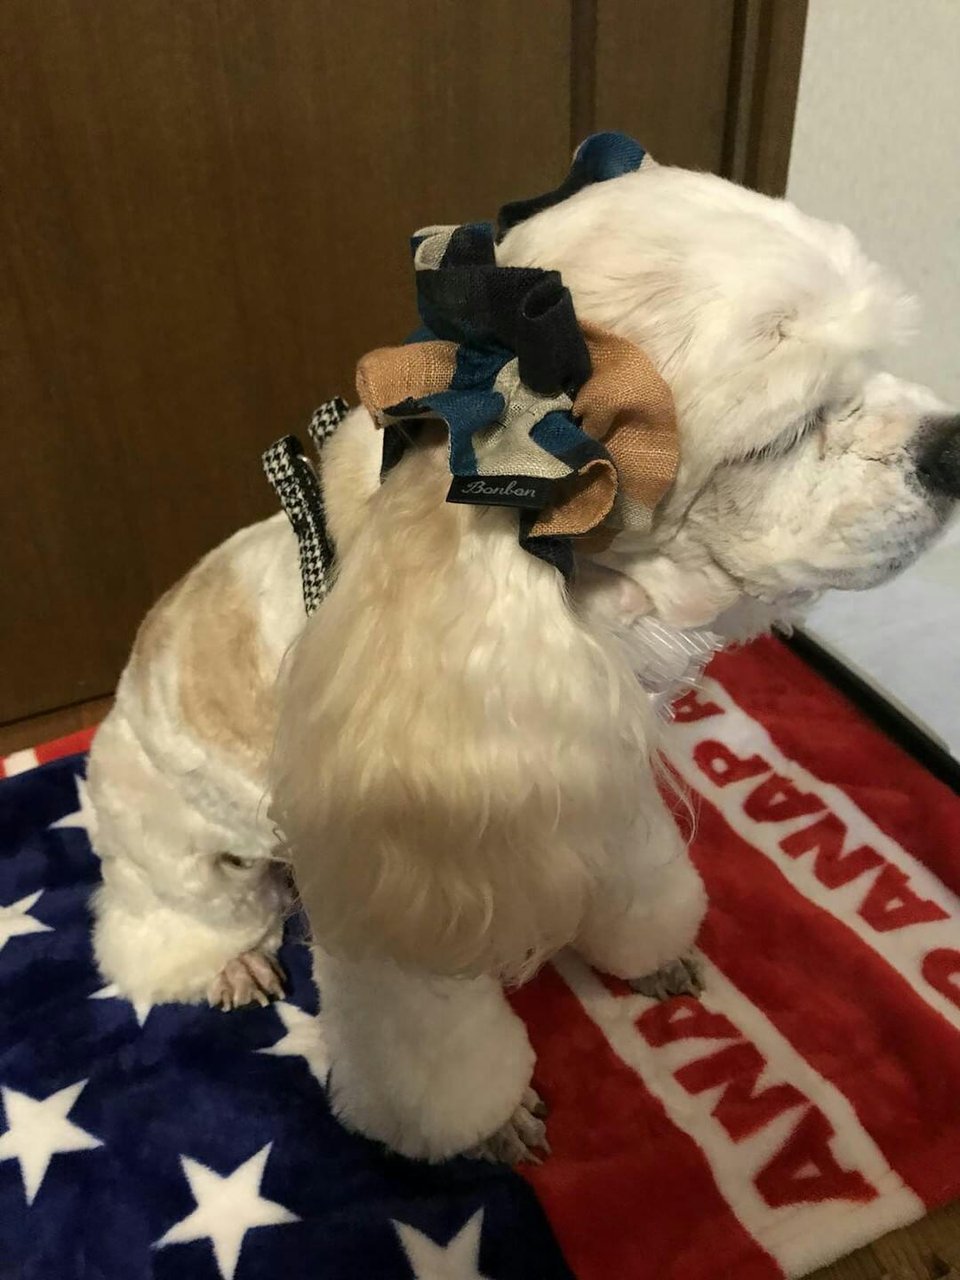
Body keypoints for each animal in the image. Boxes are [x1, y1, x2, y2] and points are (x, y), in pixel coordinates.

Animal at [86, 143, 959, 1165]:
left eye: (880, 362)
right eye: (781, 436)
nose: (955, 448)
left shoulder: (593, 775)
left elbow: (637, 881)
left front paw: (651, 956)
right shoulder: (407, 897)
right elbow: (433, 1051)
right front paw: (490, 1122)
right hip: (186, 857)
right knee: (156, 927)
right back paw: (227, 963)